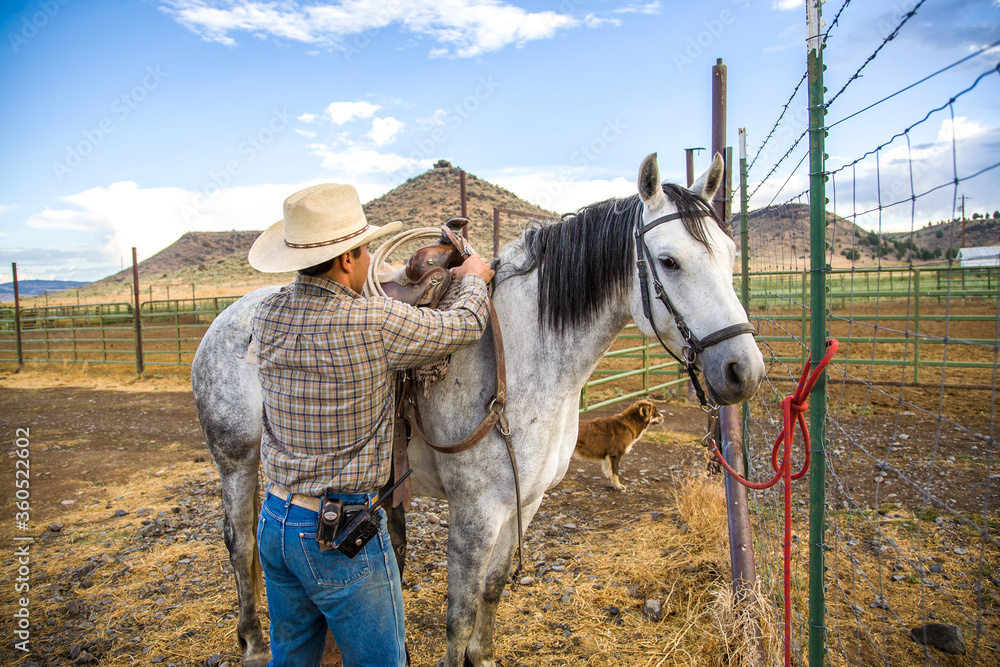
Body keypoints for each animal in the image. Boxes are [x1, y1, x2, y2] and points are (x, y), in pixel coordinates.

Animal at [189, 154, 764, 664]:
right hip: (236, 459)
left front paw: (482, 656)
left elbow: (491, 589)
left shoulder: (524, 500)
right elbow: (458, 614)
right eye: (668, 261)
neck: (527, 361)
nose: (744, 371)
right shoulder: (475, 512)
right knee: (241, 542)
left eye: (730, 254)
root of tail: (229, 317)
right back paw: (253, 643)